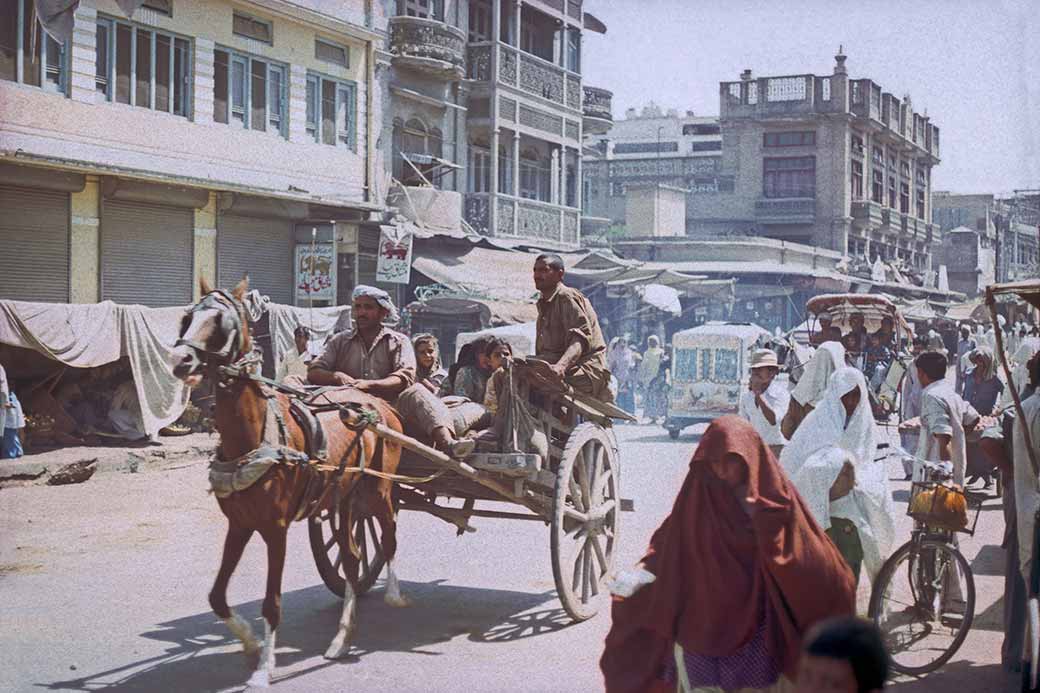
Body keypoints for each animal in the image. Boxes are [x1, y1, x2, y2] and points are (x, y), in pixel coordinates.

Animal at [170, 276, 405, 686]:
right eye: (187, 317)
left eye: (220, 322)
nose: (180, 360)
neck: (255, 436)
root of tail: (378, 404)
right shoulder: (239, 523)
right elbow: (217, 596)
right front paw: (250, 645)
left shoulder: (274, 528)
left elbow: (272, 603)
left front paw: (264, 667)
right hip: (346, 499)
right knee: (351, 557)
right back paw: (341, 637)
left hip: (379, 489)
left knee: (389, 534)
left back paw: (392, 594)